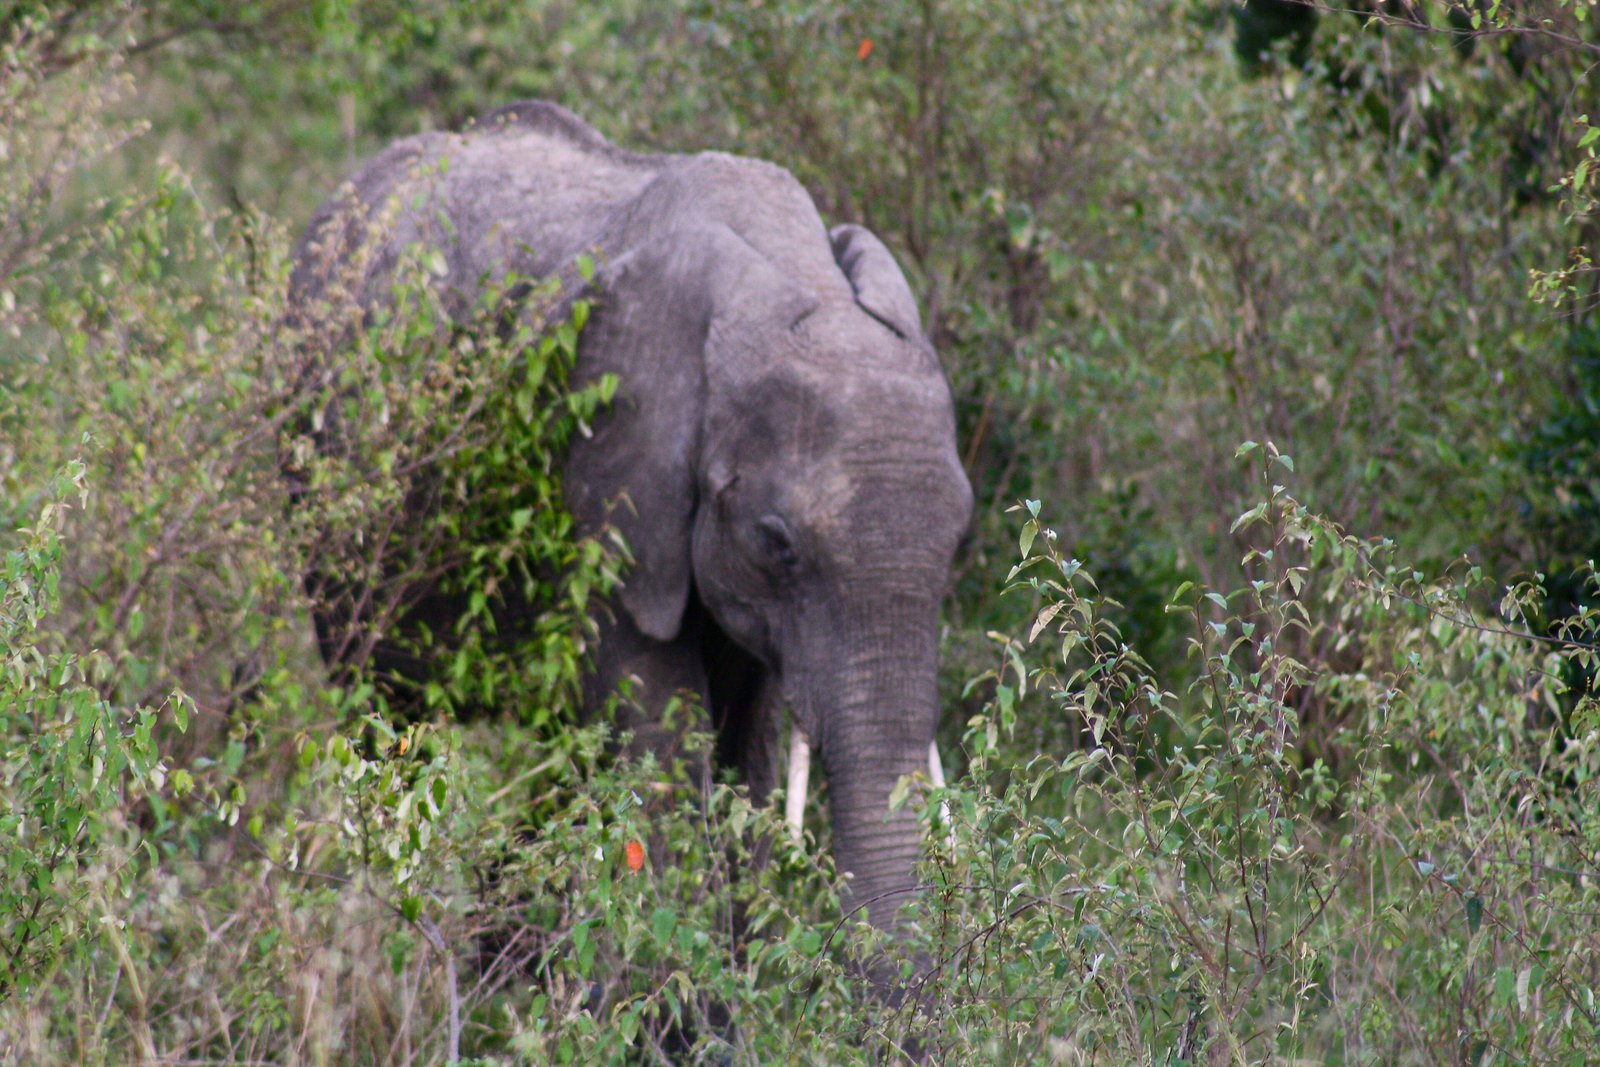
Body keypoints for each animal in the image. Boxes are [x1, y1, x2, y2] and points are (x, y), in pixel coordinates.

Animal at [290, 101, 973, 931]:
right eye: (777, 541)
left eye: (960, 540)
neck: (793, 271)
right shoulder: (603, 492)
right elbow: (662, 741)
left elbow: (743, 745)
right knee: (383, 722)